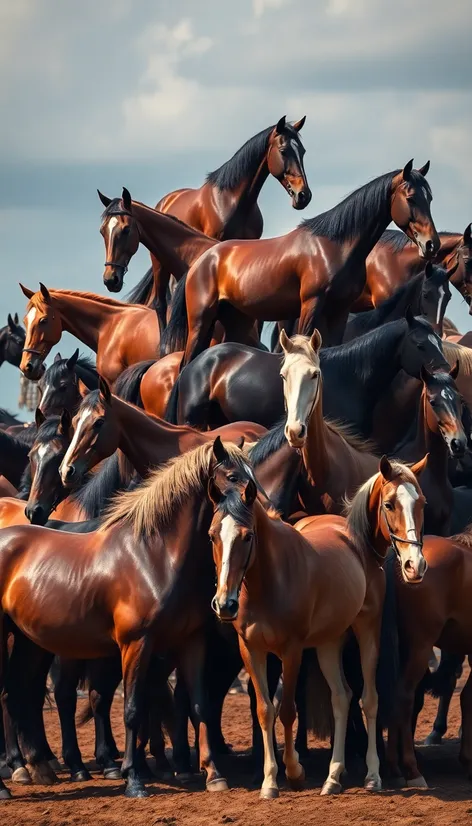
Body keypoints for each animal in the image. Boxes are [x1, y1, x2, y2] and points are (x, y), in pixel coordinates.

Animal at [0, 434, 258, 796]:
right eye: (233, 475)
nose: (254, 503)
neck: (154, 555)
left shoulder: (191, 643)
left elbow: (199, 705)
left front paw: (214, 774)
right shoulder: (136, 644)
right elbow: (133, 709)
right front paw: (134, 779)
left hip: (31, 642)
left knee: (16, 692)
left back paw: (35, 767)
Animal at [164, 159, 440, 358]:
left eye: (430, 198)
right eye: (411, 197)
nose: (431, 244)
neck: (335, 247)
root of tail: (202, 261)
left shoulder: (339, 312)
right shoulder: (311, 306)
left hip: (234, 322)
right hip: (200, 323)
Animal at [209, 450, 428, 792]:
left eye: (247, 536)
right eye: (212, 536)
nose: (224, 604)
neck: (267, 581)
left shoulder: (292, 650)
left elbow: (287, 711)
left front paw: (294, 772)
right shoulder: (251, 650)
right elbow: (264, 710)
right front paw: (269, 782)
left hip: (367, 630)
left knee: (368, 699)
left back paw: (372, 775)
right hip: (328, 642)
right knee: (341, 697)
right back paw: (333, 777)